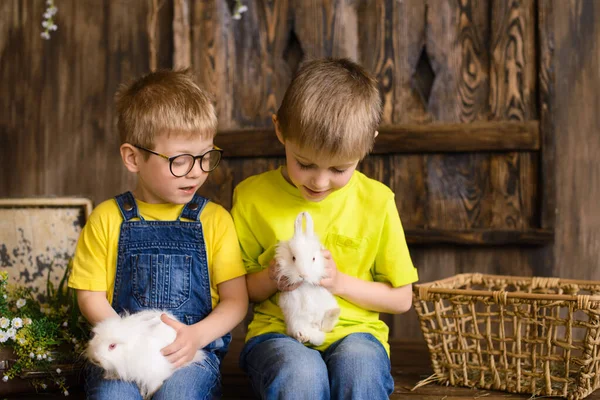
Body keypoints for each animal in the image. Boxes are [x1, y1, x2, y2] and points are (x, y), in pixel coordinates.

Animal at [276, 212, 340, 346]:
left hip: (327, 304)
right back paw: (302, 336)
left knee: (325, 327)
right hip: (295, 319)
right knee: (303, 331)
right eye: (293, 258)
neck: (305, 284)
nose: (303, 275)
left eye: (314, 259)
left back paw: (334, 312)